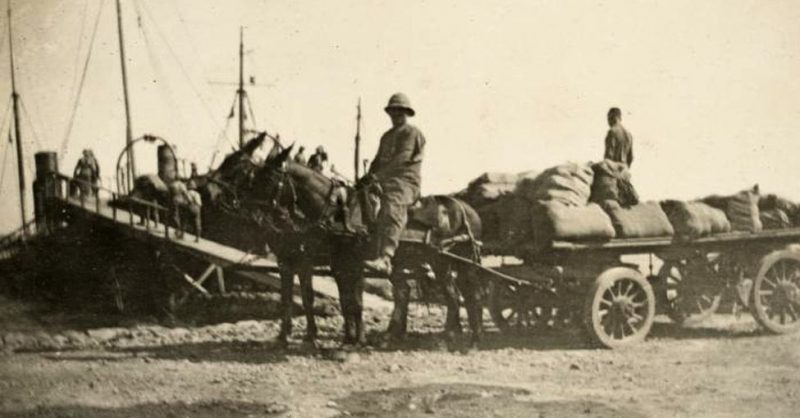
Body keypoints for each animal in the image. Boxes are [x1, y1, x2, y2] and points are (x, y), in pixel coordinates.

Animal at [244, 143, 484, 346]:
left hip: (442, 261)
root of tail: (466, 209)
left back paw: (451, 335)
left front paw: (354, 338)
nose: (253, 212)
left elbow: (351, 301)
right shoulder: (323, 264)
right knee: (420, 293)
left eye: (268, 178)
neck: (338, 213)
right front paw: (344, 337)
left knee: (456, 295)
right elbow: (339, 300)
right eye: (251, 177)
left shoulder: (336, 262)